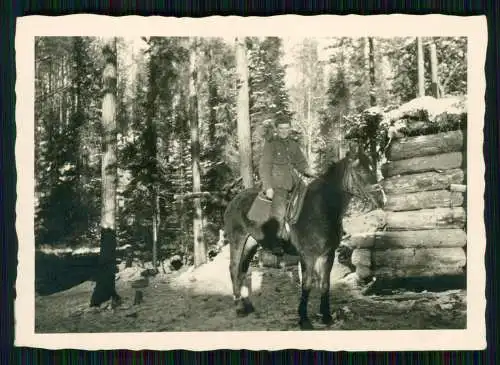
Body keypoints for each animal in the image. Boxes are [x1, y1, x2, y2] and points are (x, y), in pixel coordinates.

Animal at [223, 146, 378, 330]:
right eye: (361, 170)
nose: (381, 197)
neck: (321, 209)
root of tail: (234, 200)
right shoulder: (307, 256)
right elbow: (307, 284)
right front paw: (304, 319)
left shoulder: (328, 254)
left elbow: (325, 284)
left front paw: (326, 316)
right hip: (237, 240)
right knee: (234, 269)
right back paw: (239, 308)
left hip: (250, 244)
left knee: (242, 271)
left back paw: (248, 305)